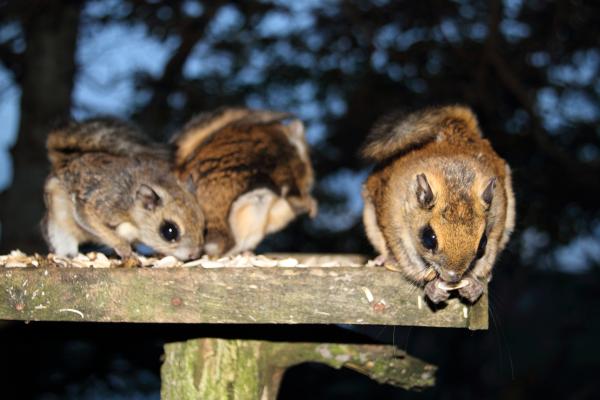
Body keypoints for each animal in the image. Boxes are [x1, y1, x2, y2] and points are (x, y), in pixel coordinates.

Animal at [42, 117, 206, 264]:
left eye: (204, 228)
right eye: (169, 231)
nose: (194, 255)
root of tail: (66, 160)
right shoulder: (100, 205)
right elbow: (94, 222)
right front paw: (125, 249)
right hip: (58, 227)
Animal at [360, 106, 516, 304]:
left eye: (483, 244)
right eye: (429, 238)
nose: (452, 277)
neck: (454, 180)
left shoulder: (498, 223)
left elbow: (486, 258)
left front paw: (473, 284)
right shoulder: (395, 224)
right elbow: (410, 261)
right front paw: (432, 287)